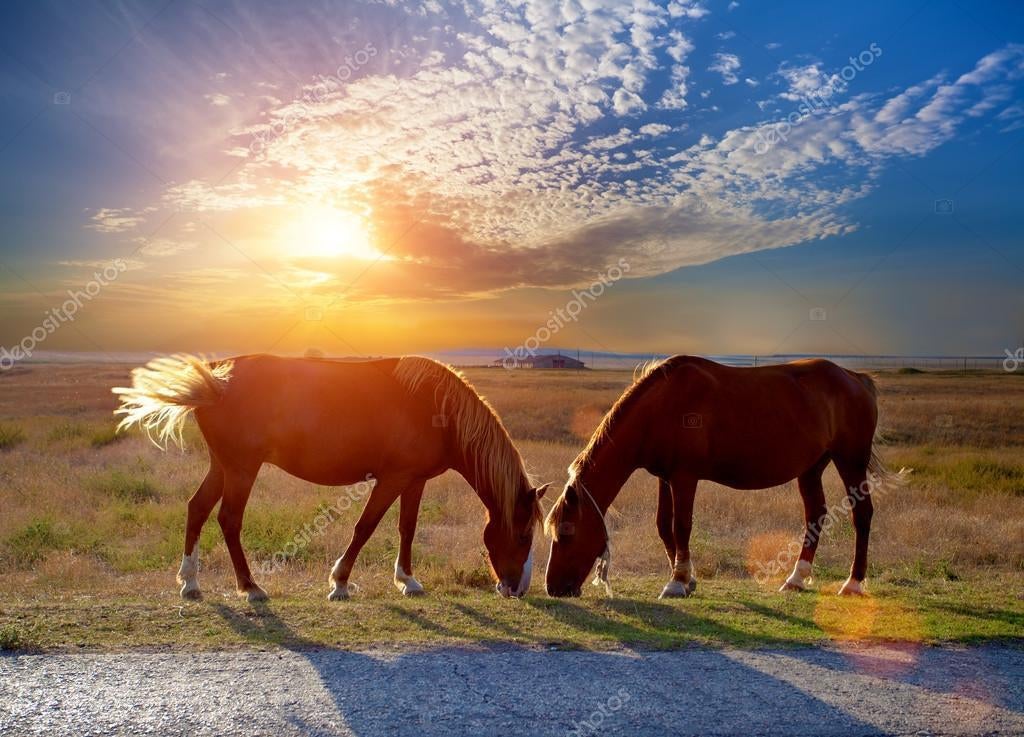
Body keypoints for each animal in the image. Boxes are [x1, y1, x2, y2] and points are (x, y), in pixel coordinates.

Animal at [112, 354, 547, 602]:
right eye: (524, 535)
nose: (518, 589)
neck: (436, 407)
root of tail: (217, 380)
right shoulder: (392, 479)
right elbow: (365, 526)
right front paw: (339, 582)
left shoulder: (415, 481)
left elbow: (406, 528)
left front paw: (407, 580)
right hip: (241, 469)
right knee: (229, 520)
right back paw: (250, 587)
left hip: (222, 466)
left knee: (198, 509)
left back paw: (190, 583)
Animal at [544, 356, 909, 599]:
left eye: (567, 532)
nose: (553, 588)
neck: (661, 406)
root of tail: (855, 378)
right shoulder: (665, 476)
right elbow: (663, 525)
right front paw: (686, 578)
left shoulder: (685, 477)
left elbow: (681, 525)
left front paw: (677, 581)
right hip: (812, 468)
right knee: (815, 516)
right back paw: (796, 578)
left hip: (850, 462)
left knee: (862, 515)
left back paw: (853, 583)